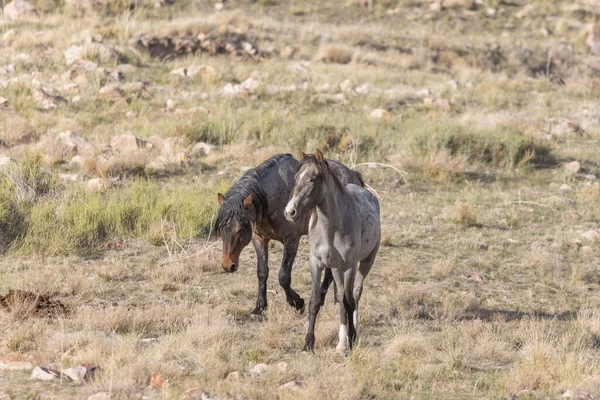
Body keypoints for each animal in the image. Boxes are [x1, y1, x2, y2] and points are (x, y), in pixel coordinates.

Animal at [217, 153, 366, 316]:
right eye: (221, 229)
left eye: (240, 229)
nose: (227, 265)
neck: (273, 196)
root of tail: (354, 176)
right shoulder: (259, 239)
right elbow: (262, 272)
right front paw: (260, 307)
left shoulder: (292, 240)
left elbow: (283, 276)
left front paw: (297, 302)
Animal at [284, 151, 380, 354]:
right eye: (296, 177)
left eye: (314, 178)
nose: (290, 212)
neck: (332, 227)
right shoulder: (316, 263)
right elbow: (315, 301)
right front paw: (308, 342)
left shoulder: (349, 265)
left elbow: (349, 301)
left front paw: (350, 340)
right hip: (336, 268)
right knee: (341, 297)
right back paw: (341, 341)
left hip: (366, 261)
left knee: (355, 294)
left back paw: (352, 334)